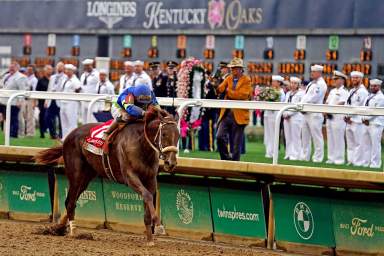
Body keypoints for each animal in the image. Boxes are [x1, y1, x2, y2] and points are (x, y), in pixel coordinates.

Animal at [35, 110, 179, 246]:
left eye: (178, 136)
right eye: (164, 134)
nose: (170, 163)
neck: (141, 144)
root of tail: (69, 135)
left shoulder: (150, 179)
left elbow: (147, 200)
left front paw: (149, 239)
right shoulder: (130, 176)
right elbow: (148, 196)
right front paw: (159, 225)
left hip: (86, 177)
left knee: (72, 200)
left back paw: (58, 228)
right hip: (76, 174)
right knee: (70, 202)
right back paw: (73, 232)